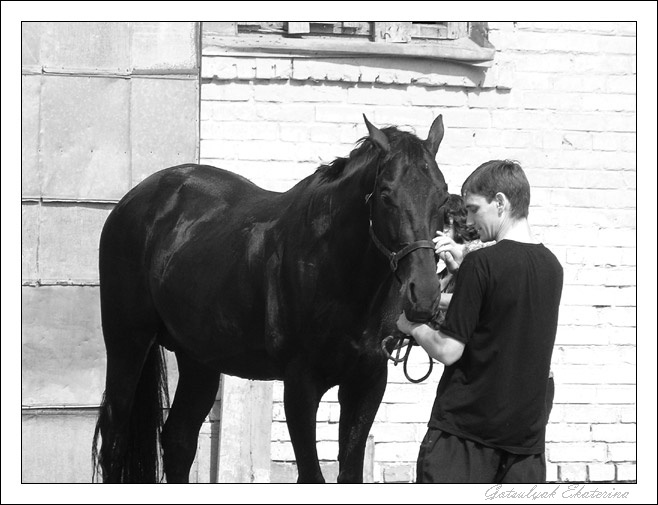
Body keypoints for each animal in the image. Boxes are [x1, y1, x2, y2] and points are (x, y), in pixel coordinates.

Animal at [92, 114, 450, 483]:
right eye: (385, 194)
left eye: (443, 197)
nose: (424, 294)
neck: (335, 269)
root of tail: (136, 199)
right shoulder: (300, 383)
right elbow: (311, 475)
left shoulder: (367, 381)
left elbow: (349, 473)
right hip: (128, 343)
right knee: (114, 438)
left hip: (198, 359)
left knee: (178, 438)